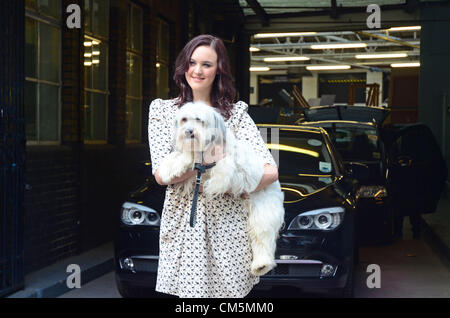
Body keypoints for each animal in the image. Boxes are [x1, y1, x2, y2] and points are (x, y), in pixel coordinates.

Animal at [158, 102, 284, 276]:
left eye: (199, 120)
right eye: (184, 120)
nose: (189, 131)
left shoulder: (225, 162)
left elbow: (217, 170)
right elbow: (183, 158)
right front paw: (168, 168)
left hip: (262, 212)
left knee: (263, 238)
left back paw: (261, 264)